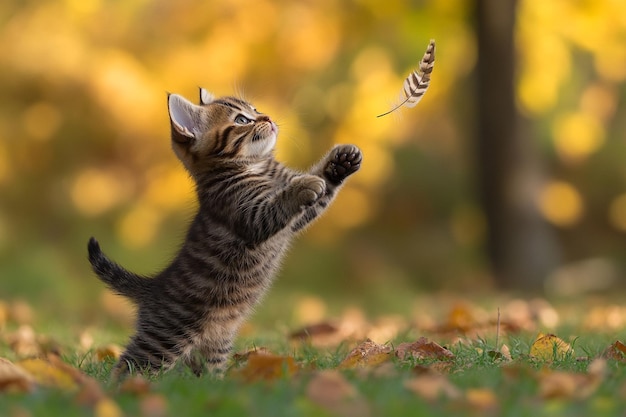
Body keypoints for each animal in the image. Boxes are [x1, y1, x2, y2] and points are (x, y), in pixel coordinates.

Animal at [88, 88, 360, 376]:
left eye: (255, 109)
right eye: (241, 120)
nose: (267, 117)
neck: (257, 166)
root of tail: (154, 286)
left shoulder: (294, 220)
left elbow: (320, 195)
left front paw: (341, 163)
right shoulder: (250, 214)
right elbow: (281, 201)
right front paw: (304, 185)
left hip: (213, 346)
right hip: (165, 336)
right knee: (131, 364)